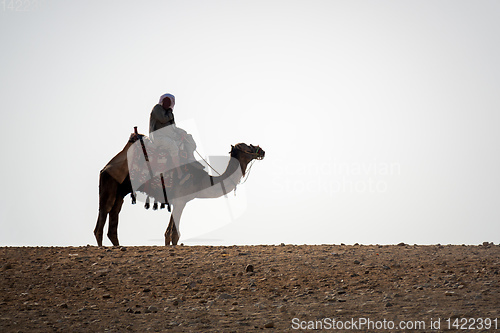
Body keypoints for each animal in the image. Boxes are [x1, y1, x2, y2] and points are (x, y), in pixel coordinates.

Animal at [94, 131, 266, 245]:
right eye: (247, 147)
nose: (262, 150)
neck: (201, 180)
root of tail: (106, 167)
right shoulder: (181, 200)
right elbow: (175, 234)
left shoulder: (177, 201)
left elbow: (168, 234)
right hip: (109, 183)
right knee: (102, 217)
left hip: (120, 192)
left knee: (113, 219)